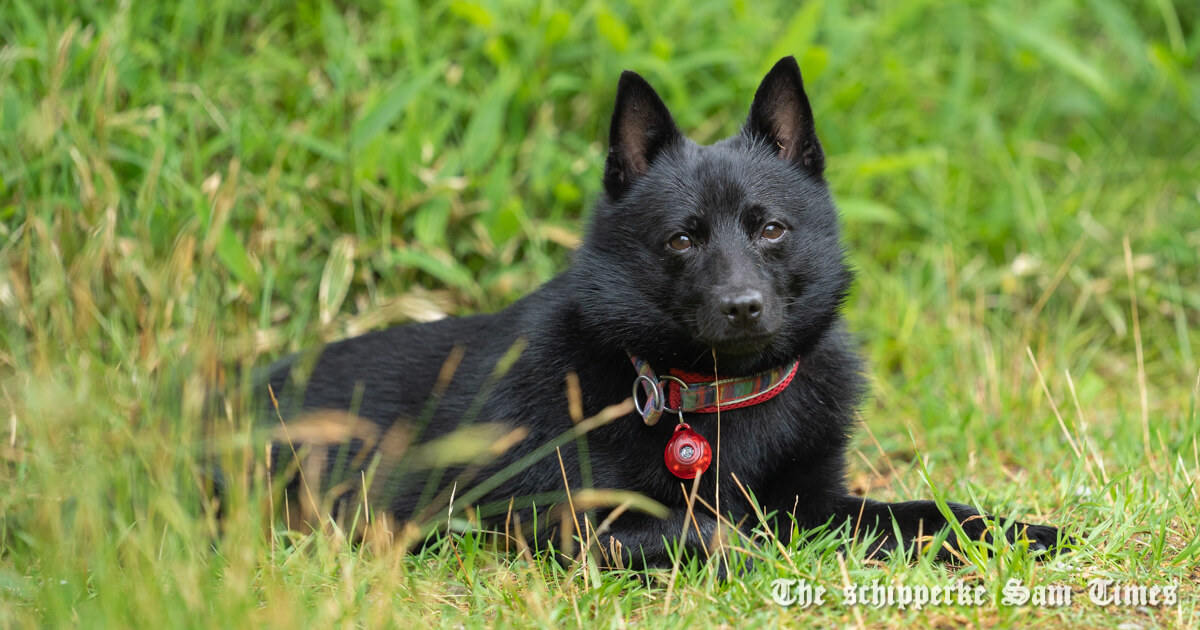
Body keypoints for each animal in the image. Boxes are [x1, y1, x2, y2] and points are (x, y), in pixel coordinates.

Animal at [265, 56, 1070, 566]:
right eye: (682, 238)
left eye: (770, 228)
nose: (743, 308)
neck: (717, 396)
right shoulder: (538, 514)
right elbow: (707, 531)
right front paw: (751, 553)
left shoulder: (820, 501)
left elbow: (931, 514)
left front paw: (1017, 530)